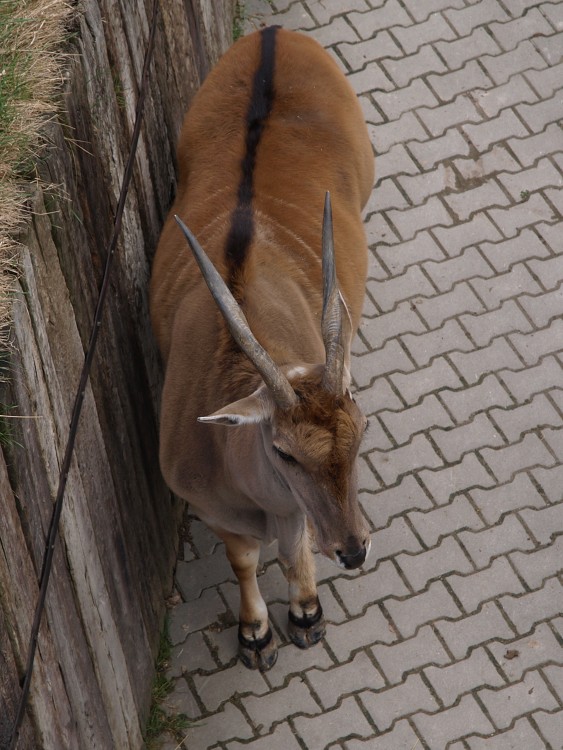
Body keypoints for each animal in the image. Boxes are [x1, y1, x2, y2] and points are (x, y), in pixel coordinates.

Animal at [152, 26, 376, 672]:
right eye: (283, 453)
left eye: (360, 435)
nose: (353, 551)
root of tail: (271, 33)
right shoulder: (217, 512)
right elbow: (244, 559)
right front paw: (255, 633)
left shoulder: (294, 512)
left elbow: (292, 549)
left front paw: (305, 614)